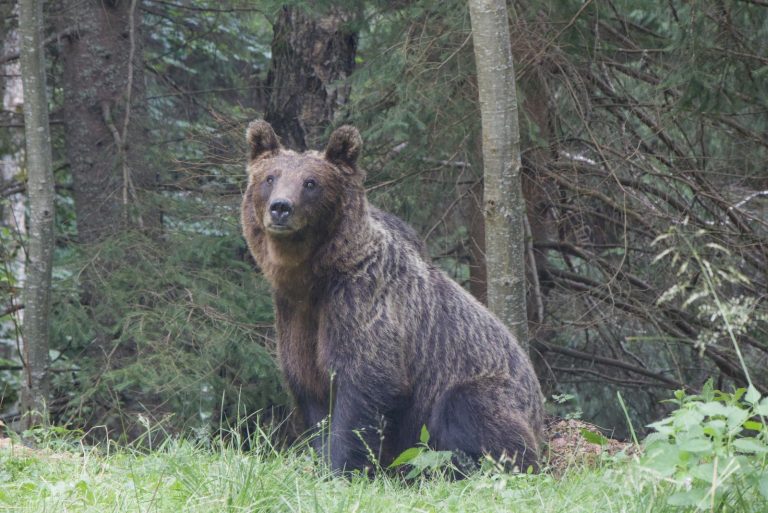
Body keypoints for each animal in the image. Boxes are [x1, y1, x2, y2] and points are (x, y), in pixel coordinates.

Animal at [240, 120, 544, 473]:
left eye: (311, 182)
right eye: (270, 177)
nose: (280, 208)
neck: (314, 278)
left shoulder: (361, 303)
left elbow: (363, 388)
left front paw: (341, 467)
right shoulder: (296, 319)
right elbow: (313, 397)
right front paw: (322, 457)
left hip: (491, 387)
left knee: (470, 409)